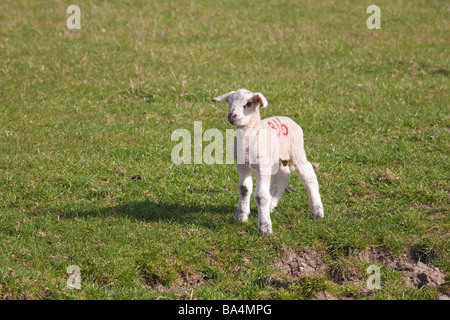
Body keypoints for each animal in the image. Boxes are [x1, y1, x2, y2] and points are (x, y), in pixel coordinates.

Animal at [211, 89, 324, 234]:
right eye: (229, 102)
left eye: (248, 103)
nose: (232, 116)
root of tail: (287, 118)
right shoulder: (242, 165)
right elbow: (244, 189)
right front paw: (241, 217)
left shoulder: (262, 165)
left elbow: (260, 196)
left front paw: (265, 227)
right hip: (277, 158)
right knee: (283, 176)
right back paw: (271, 205)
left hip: (296, 149)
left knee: (308, 174)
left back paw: (317, 211)